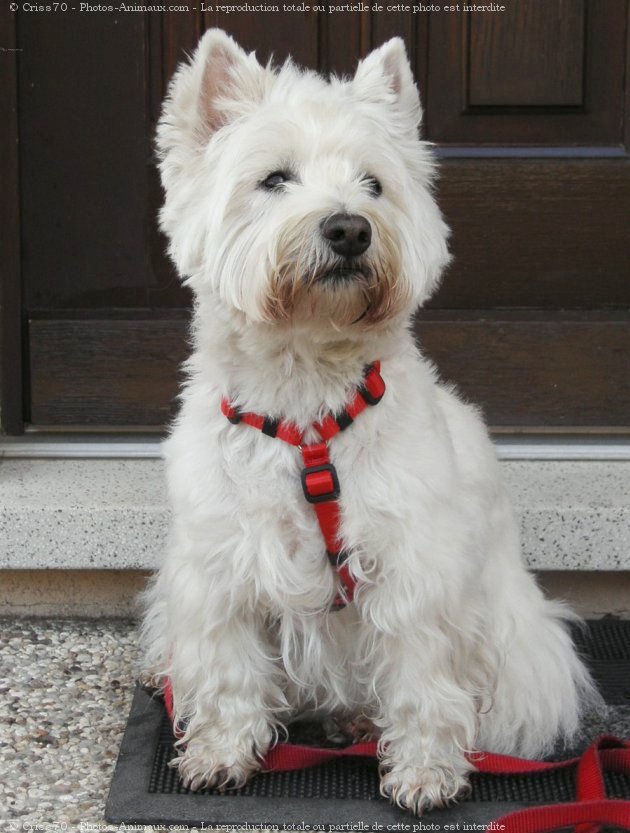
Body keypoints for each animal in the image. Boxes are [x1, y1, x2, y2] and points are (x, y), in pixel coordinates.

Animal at [141, 30, 600, 812]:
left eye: (374, 184)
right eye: (274, 178)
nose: (349, 228)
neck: (306, 408)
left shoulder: (414, 570)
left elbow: (422, 678)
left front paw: (424, 771)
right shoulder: (220, 567)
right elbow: (230, 670)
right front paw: (220, 753)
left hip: (520, 648)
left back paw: (363, 723)